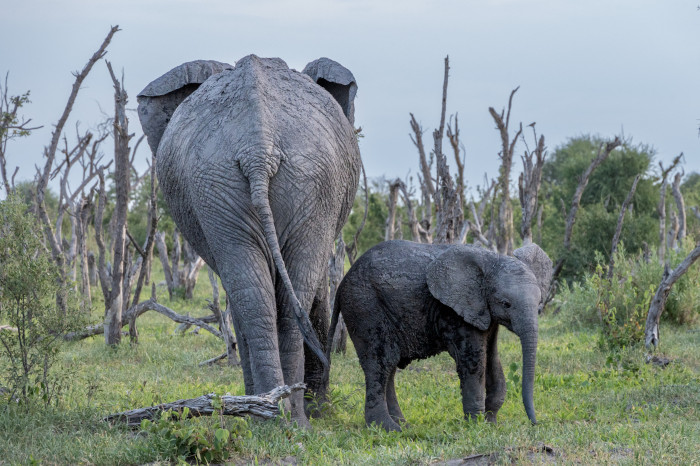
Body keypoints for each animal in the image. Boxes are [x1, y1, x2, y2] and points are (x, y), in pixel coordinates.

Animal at [140, 54, 364, 426]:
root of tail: (258, 149)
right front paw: (319, 410)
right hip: (245, 184)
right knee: (275, 299)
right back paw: (283, 415)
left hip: (287, 182)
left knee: (259, 298)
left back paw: (275, 414)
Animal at [328, 240, 552, 434]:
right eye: (506, 304)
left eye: (540, 302)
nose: (535, 423)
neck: (491, 259)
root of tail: (342, 283)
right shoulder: (453, 312)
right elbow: (473, 361)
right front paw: (476, 426)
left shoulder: (483, 311)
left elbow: (492, 358)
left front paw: (491, 423)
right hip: (364, 306)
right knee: (379, 363)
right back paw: (388, 429)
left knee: (388, 365)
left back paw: (402, 425)